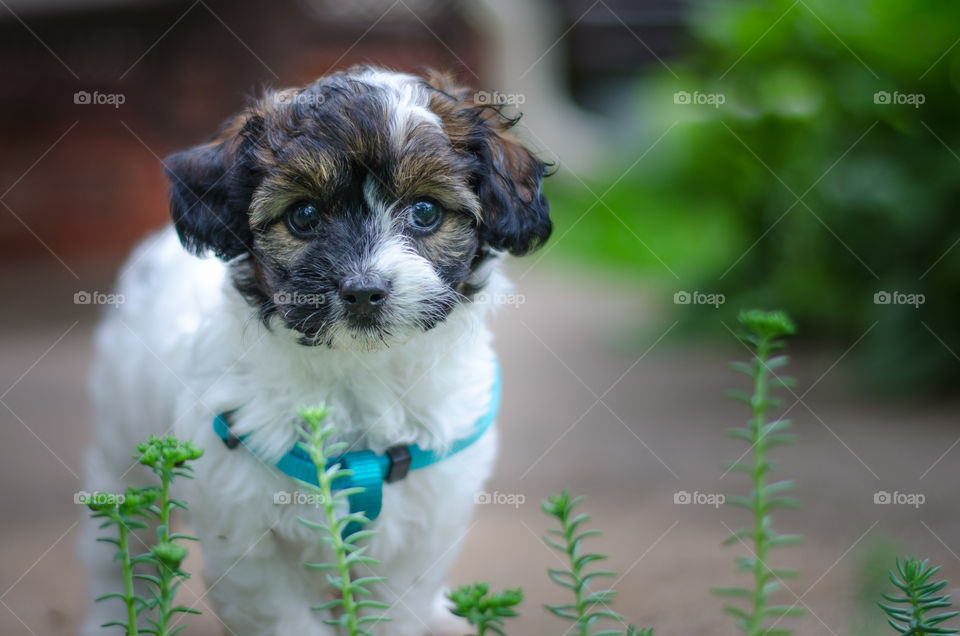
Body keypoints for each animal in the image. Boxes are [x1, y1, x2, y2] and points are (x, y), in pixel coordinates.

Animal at [78, 66, 548, 636]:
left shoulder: (424, 526)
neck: (357, 373)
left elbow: (397, 607)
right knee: (120, 541)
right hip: (121, 446)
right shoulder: (246, 538)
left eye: (425, 211)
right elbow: (281, 614)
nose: (364, 290)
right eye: (303, 215)